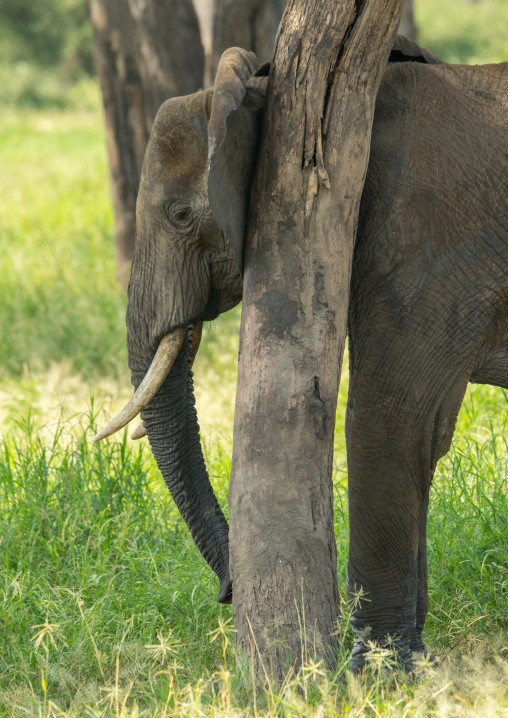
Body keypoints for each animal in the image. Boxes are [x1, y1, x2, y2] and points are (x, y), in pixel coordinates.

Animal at [94, 36, 508, 672]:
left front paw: (378, 673)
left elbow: (390, 424)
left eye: (181, 215)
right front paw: (413, 661)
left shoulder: (424, 231)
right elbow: (427, 439)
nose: (227, 592)